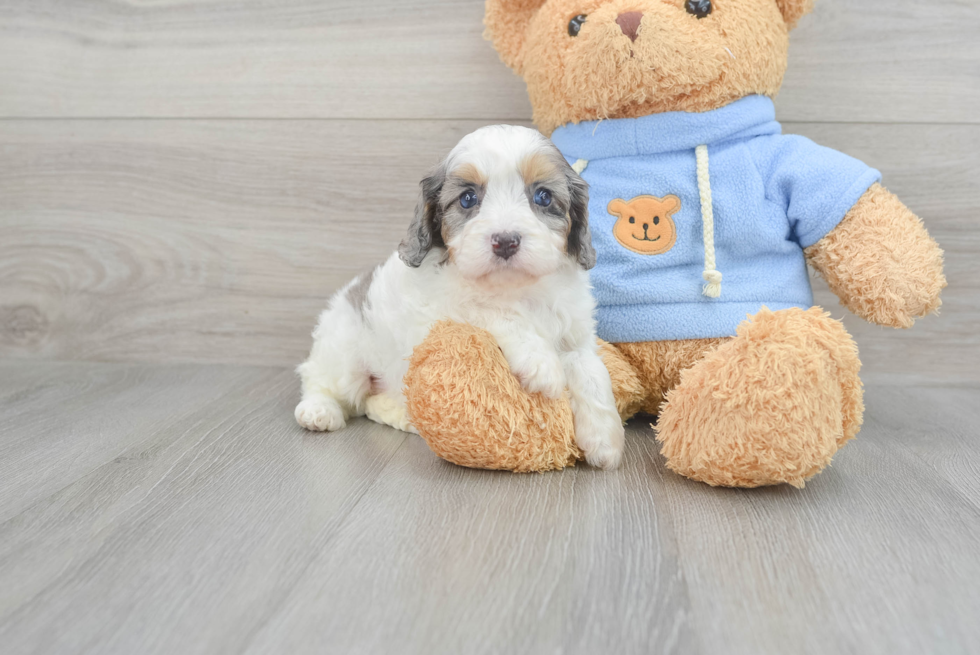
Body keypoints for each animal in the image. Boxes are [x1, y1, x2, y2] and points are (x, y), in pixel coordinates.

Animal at [294, 124, 624, 472]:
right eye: (467, 199)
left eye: (543, 196)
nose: (505, 241)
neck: (517, 288)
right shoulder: (445, 308)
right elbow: (495, 312)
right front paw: (541, 362)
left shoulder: (576, 333)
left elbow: (592, 372)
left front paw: (605, 439)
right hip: (344, 350)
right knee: (320, 380)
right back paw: (318, 411)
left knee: (370, 402)